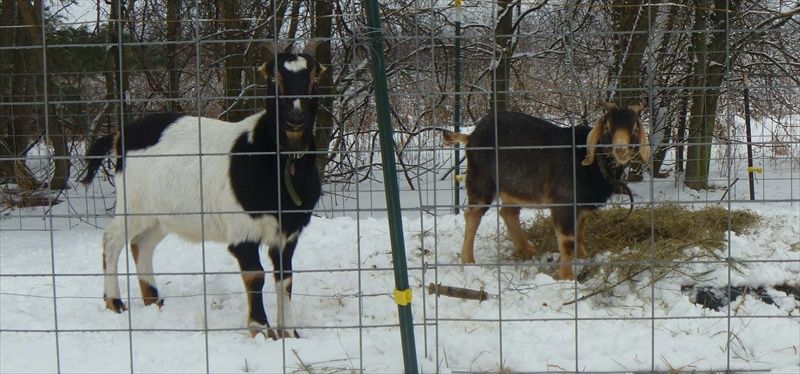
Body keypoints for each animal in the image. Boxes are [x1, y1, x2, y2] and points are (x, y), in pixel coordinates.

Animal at [83, 41, 324, 338]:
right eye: (272, 77)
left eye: (315, 77)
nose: (295, 117)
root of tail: (120, 137)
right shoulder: (242, 230)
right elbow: (255, 276)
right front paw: (260, 329)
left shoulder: (288, 232)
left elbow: (285, 277)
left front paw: (289, 332)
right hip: (135, 204)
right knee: (112, 238)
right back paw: (115, 302)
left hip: (162, 216)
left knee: (142, 244)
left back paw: (154, 300)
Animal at [444, 101, 648, 280]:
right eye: (607, 127)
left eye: (634, 128)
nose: (620, 150)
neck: (593, 163)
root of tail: (471, 136)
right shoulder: (564, 201)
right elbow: (567, 240)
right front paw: (566, 277)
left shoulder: (580, 204)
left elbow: (580, 229)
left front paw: (583, 256)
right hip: (481, 181)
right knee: (473, 214)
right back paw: (468, 260)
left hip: (515, 187)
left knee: (508, 212)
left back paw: (528, 250)